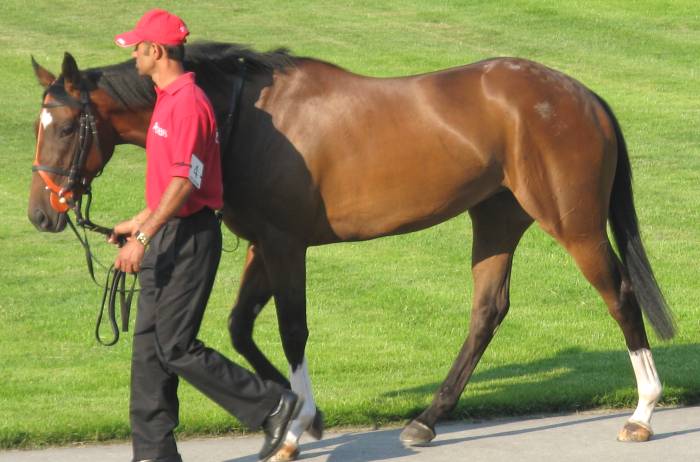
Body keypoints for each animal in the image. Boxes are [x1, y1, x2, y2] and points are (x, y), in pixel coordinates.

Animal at [28, 42, 675, 460]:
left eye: (66, 126)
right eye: (38, 125)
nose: (41, 214)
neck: (242, 116)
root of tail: (582, 95)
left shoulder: (286, 244)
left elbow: (292, 330)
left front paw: (293, 426)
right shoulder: (263, 243)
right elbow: (240, 327)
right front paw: (299, 416)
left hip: (573, 222)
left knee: (619, 293)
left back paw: (643, 411)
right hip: (496, 217)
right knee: (487, 311)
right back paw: (425, 420)